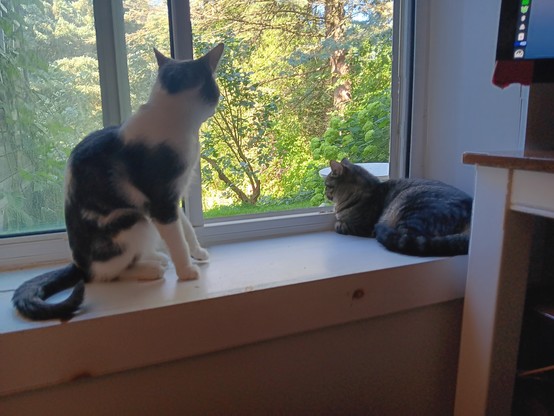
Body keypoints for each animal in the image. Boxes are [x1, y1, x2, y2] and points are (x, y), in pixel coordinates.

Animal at [10, 43, 223, 322]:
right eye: (215, 88)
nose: (218, 99)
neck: (171, 118)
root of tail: (79, 263)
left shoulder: (174, 197)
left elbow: (185, 229)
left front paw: (196, 252)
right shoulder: (161, 202)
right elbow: (176, 238)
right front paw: (187, 271)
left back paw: (155, 257)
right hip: (133, 219)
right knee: (105, 274)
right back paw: (151, 269)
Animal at [324, 158, 470, 255]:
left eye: (327, 185)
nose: (325, 193)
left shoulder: (361, 226)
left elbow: (340, 225)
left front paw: (338, 223)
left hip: (410, 207)